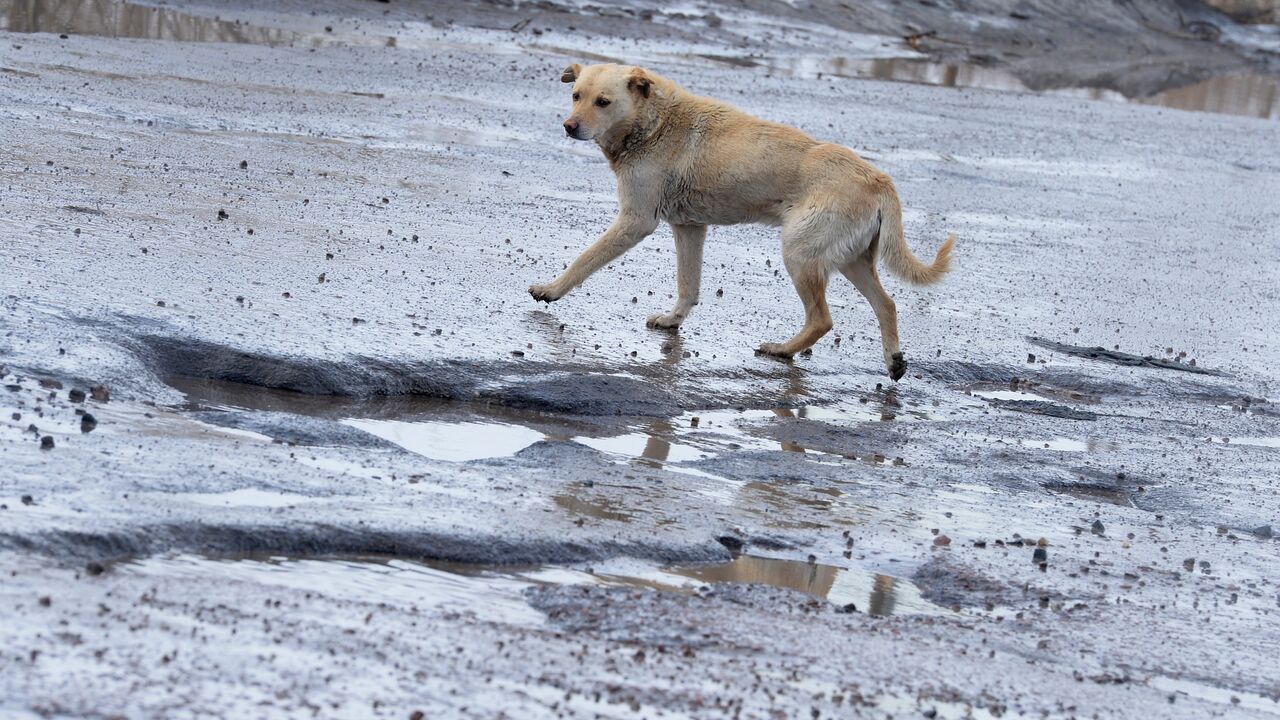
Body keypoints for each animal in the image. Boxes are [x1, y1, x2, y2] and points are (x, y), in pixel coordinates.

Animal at [524, 62, 957, 379]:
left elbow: (584, 260)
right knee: (887, 305)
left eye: (603, 102)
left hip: (800, 255)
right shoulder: (689, 228)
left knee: (822, 319)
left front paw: (551, 289)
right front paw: (673, 320)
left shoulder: (635, 221)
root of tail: (880, 180)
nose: (569, 126)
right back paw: (893, 360)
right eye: (576, 96)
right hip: (850, 260)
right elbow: (688, 286)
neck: (655, 122)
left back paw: (782, 350)